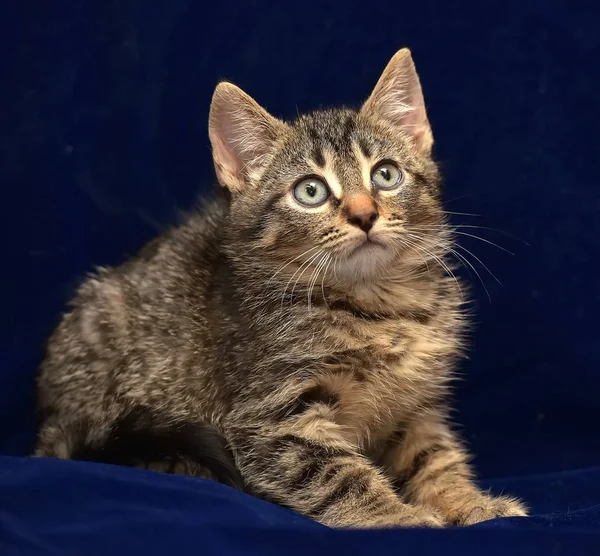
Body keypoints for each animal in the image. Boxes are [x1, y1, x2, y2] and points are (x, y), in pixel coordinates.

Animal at [35, 46, 528, 524]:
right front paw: (397, 516)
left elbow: (434, 457)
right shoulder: (272, 419)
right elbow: (337, 474)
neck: (379, 303)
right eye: (310, 191)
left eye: (386, 175)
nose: (364, 213)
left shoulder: (415, 406)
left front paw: (469, 503)